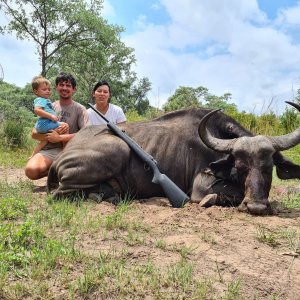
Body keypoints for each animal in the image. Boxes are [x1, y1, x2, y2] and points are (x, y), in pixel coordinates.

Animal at [47, 103, 300, 216]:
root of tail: (61, 157)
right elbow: (214, 196)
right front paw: (210, 200)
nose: (256, 206)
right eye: (240, 165)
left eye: (269, 167)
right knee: (60, 194)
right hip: (118, 148)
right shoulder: (200, 186)